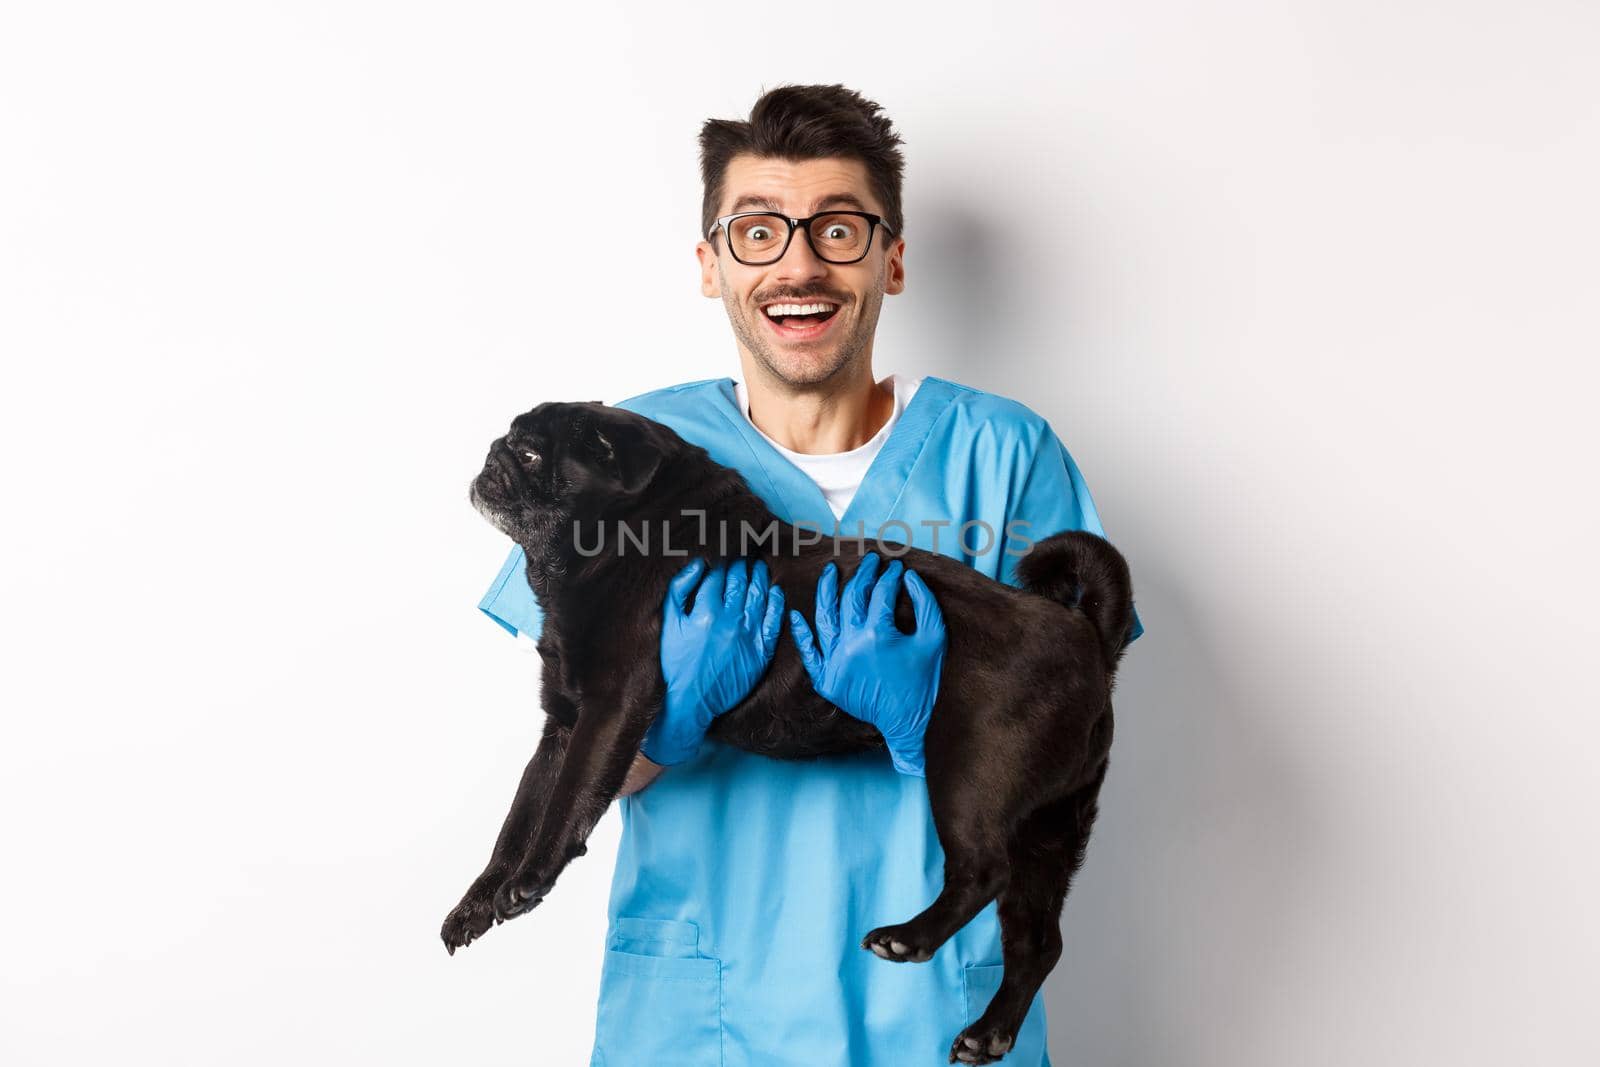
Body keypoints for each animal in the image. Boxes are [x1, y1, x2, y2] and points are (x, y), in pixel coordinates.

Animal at [444, 403, 1132, 1067]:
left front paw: (531, 880)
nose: (494, 454)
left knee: (983, 871)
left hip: (968, 773)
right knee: (1037, 941)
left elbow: (565, 804)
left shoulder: (609, 712)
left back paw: (909, 938)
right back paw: (989, 1033)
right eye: (511, 443)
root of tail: (1088, 638)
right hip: (1050, 827)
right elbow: (519, 819)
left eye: (532, 453)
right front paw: (479, 899)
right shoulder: (561, 726)